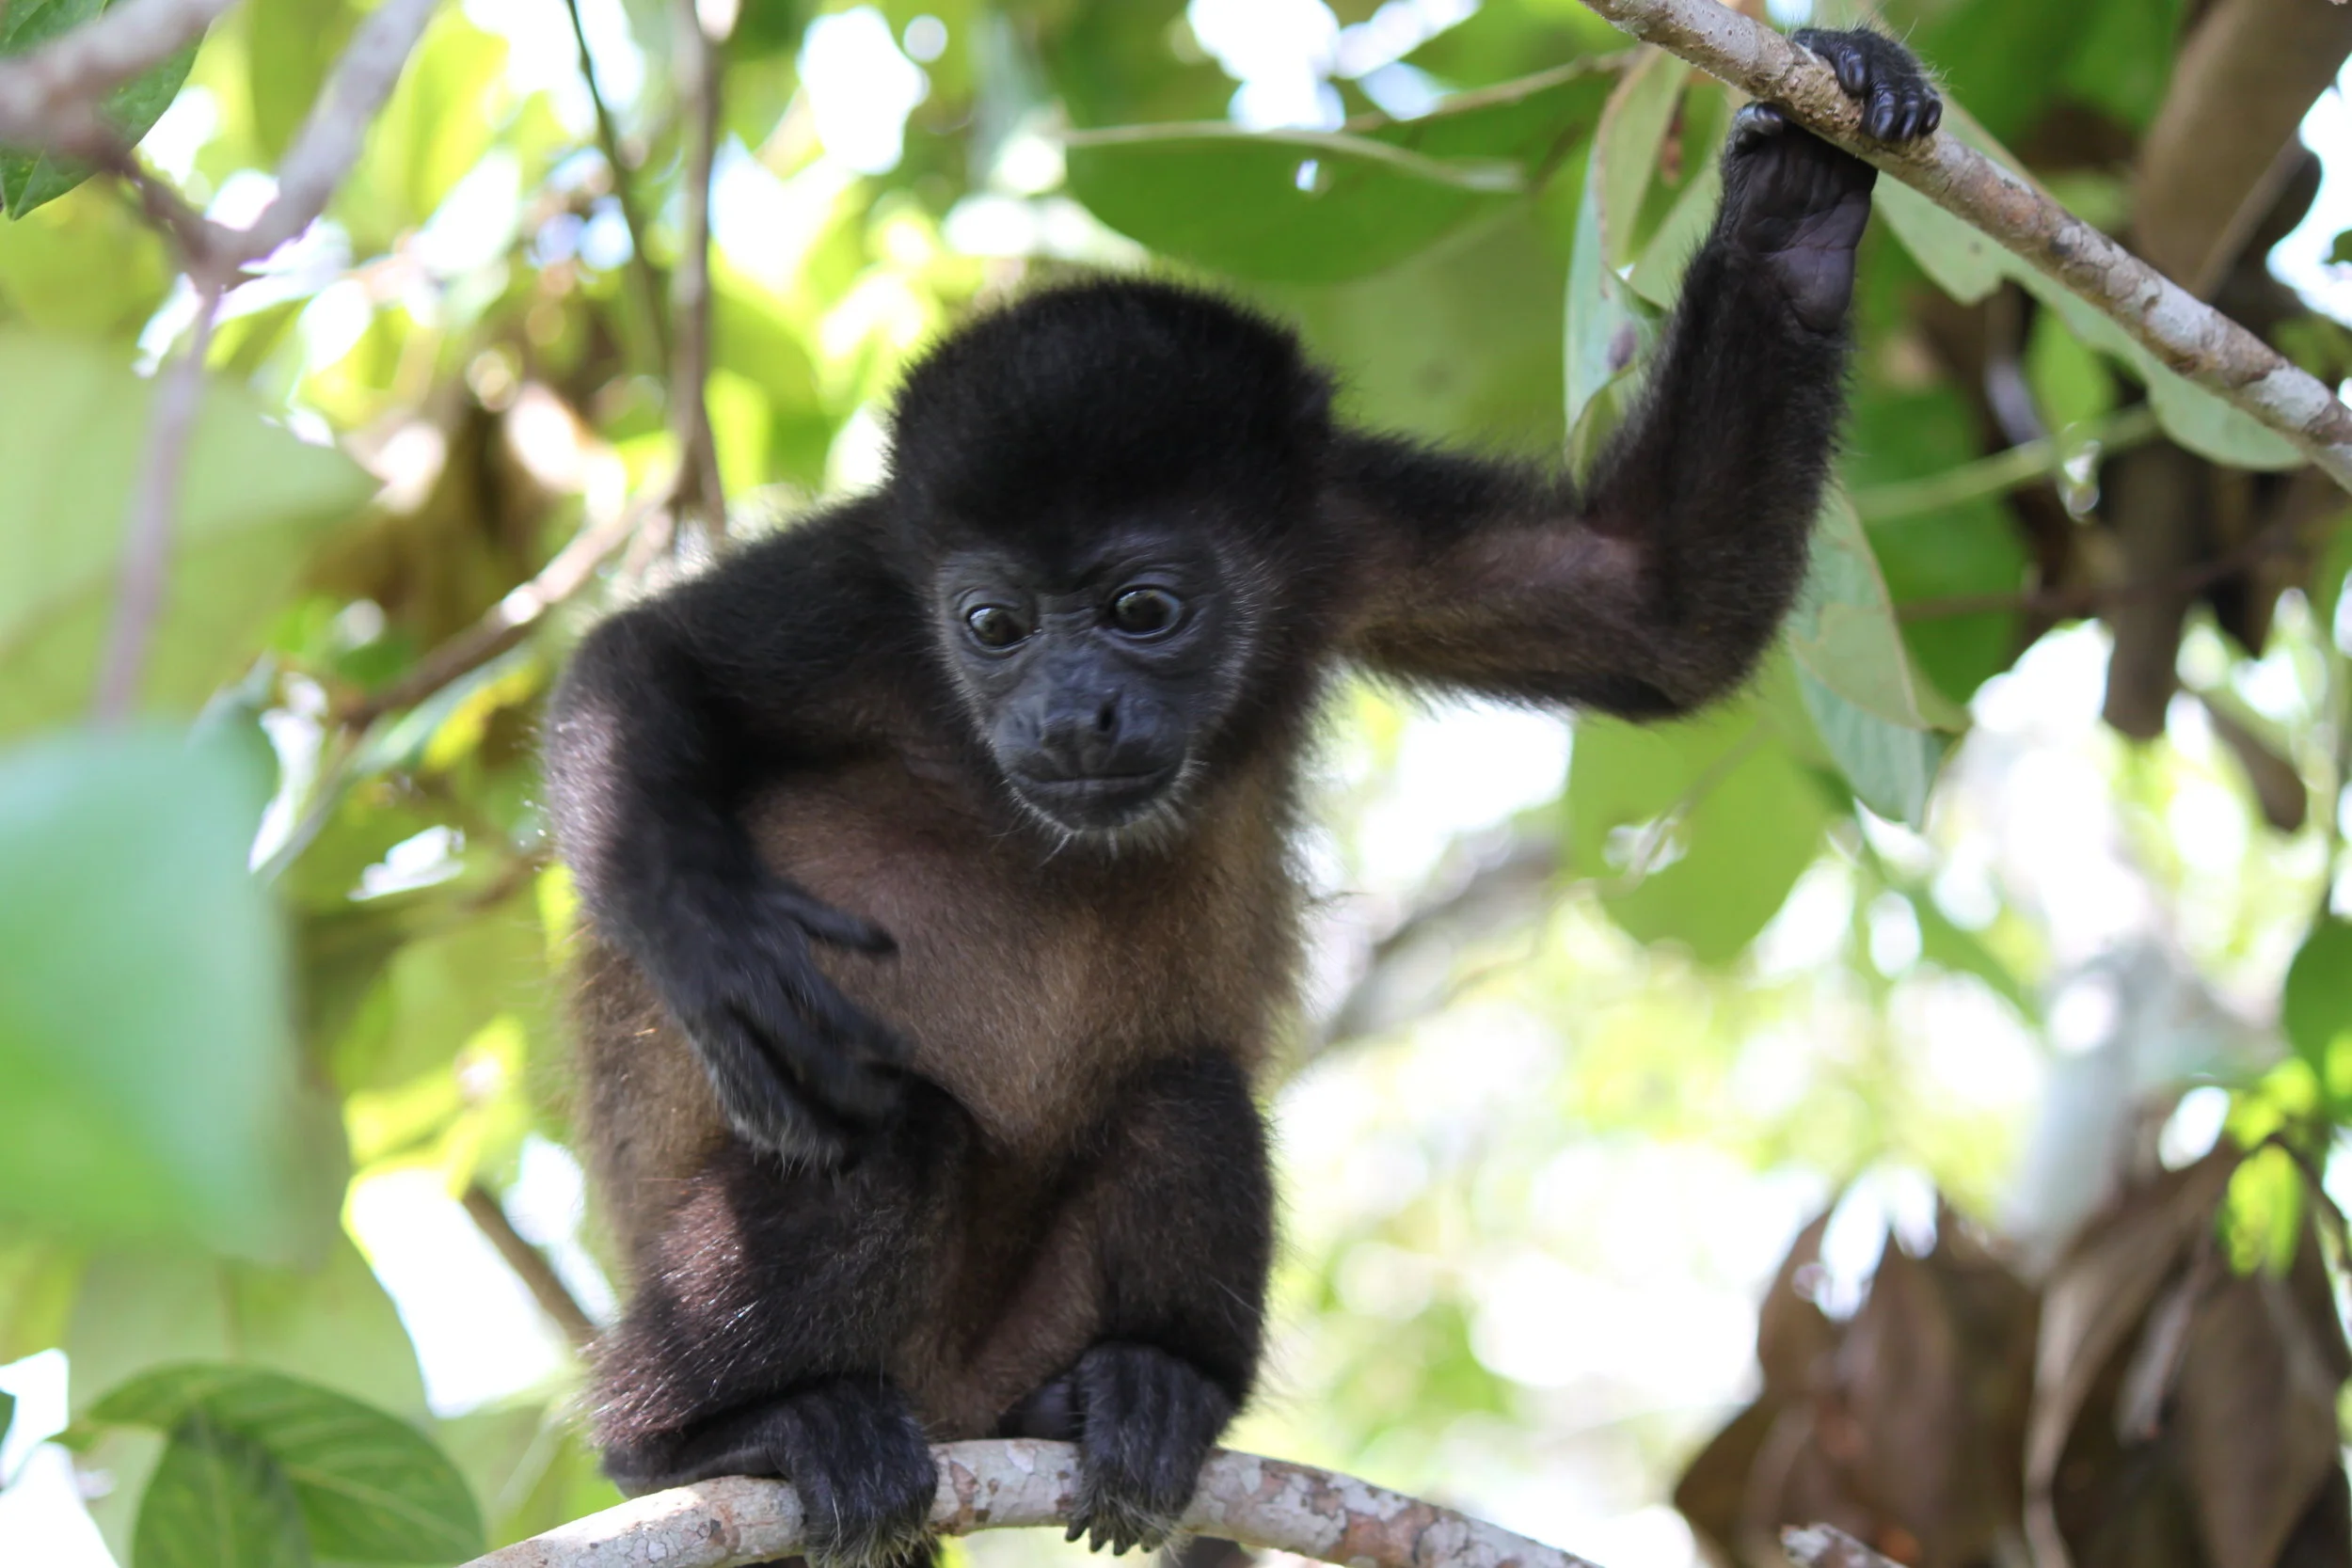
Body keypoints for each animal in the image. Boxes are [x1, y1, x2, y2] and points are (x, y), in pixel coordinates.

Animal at [543, 29, 1938, 1568]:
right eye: (993, 625)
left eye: (1143, 610)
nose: (1068, 713)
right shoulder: (864, 592)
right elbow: (641, 661)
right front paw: (721, 956)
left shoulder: (1346, 529)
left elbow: (1657, 602)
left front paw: (1801, 204)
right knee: (889, 1130)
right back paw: (724, 1429)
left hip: (1027, 1328)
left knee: (1188, 1094)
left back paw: (1145, 1388)